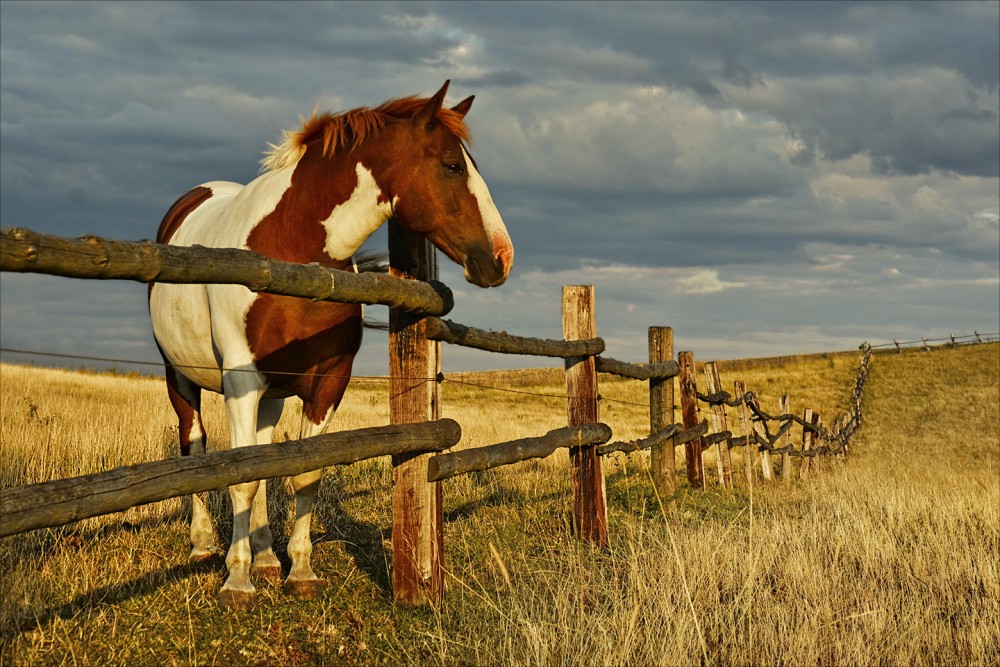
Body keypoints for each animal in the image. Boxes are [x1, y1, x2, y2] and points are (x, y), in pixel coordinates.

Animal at [148, 82, 516, 612]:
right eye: (451, 165)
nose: (502, 257)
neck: (295, 250)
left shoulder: (328, 382)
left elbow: (302, 474)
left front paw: (298, 571)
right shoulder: (240, 381)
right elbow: (241, 477)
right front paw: (236, 581)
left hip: (272, 395)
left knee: (265, 454)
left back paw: (265, 557)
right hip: (180, 377)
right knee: (194, 447)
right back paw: (204, 546)